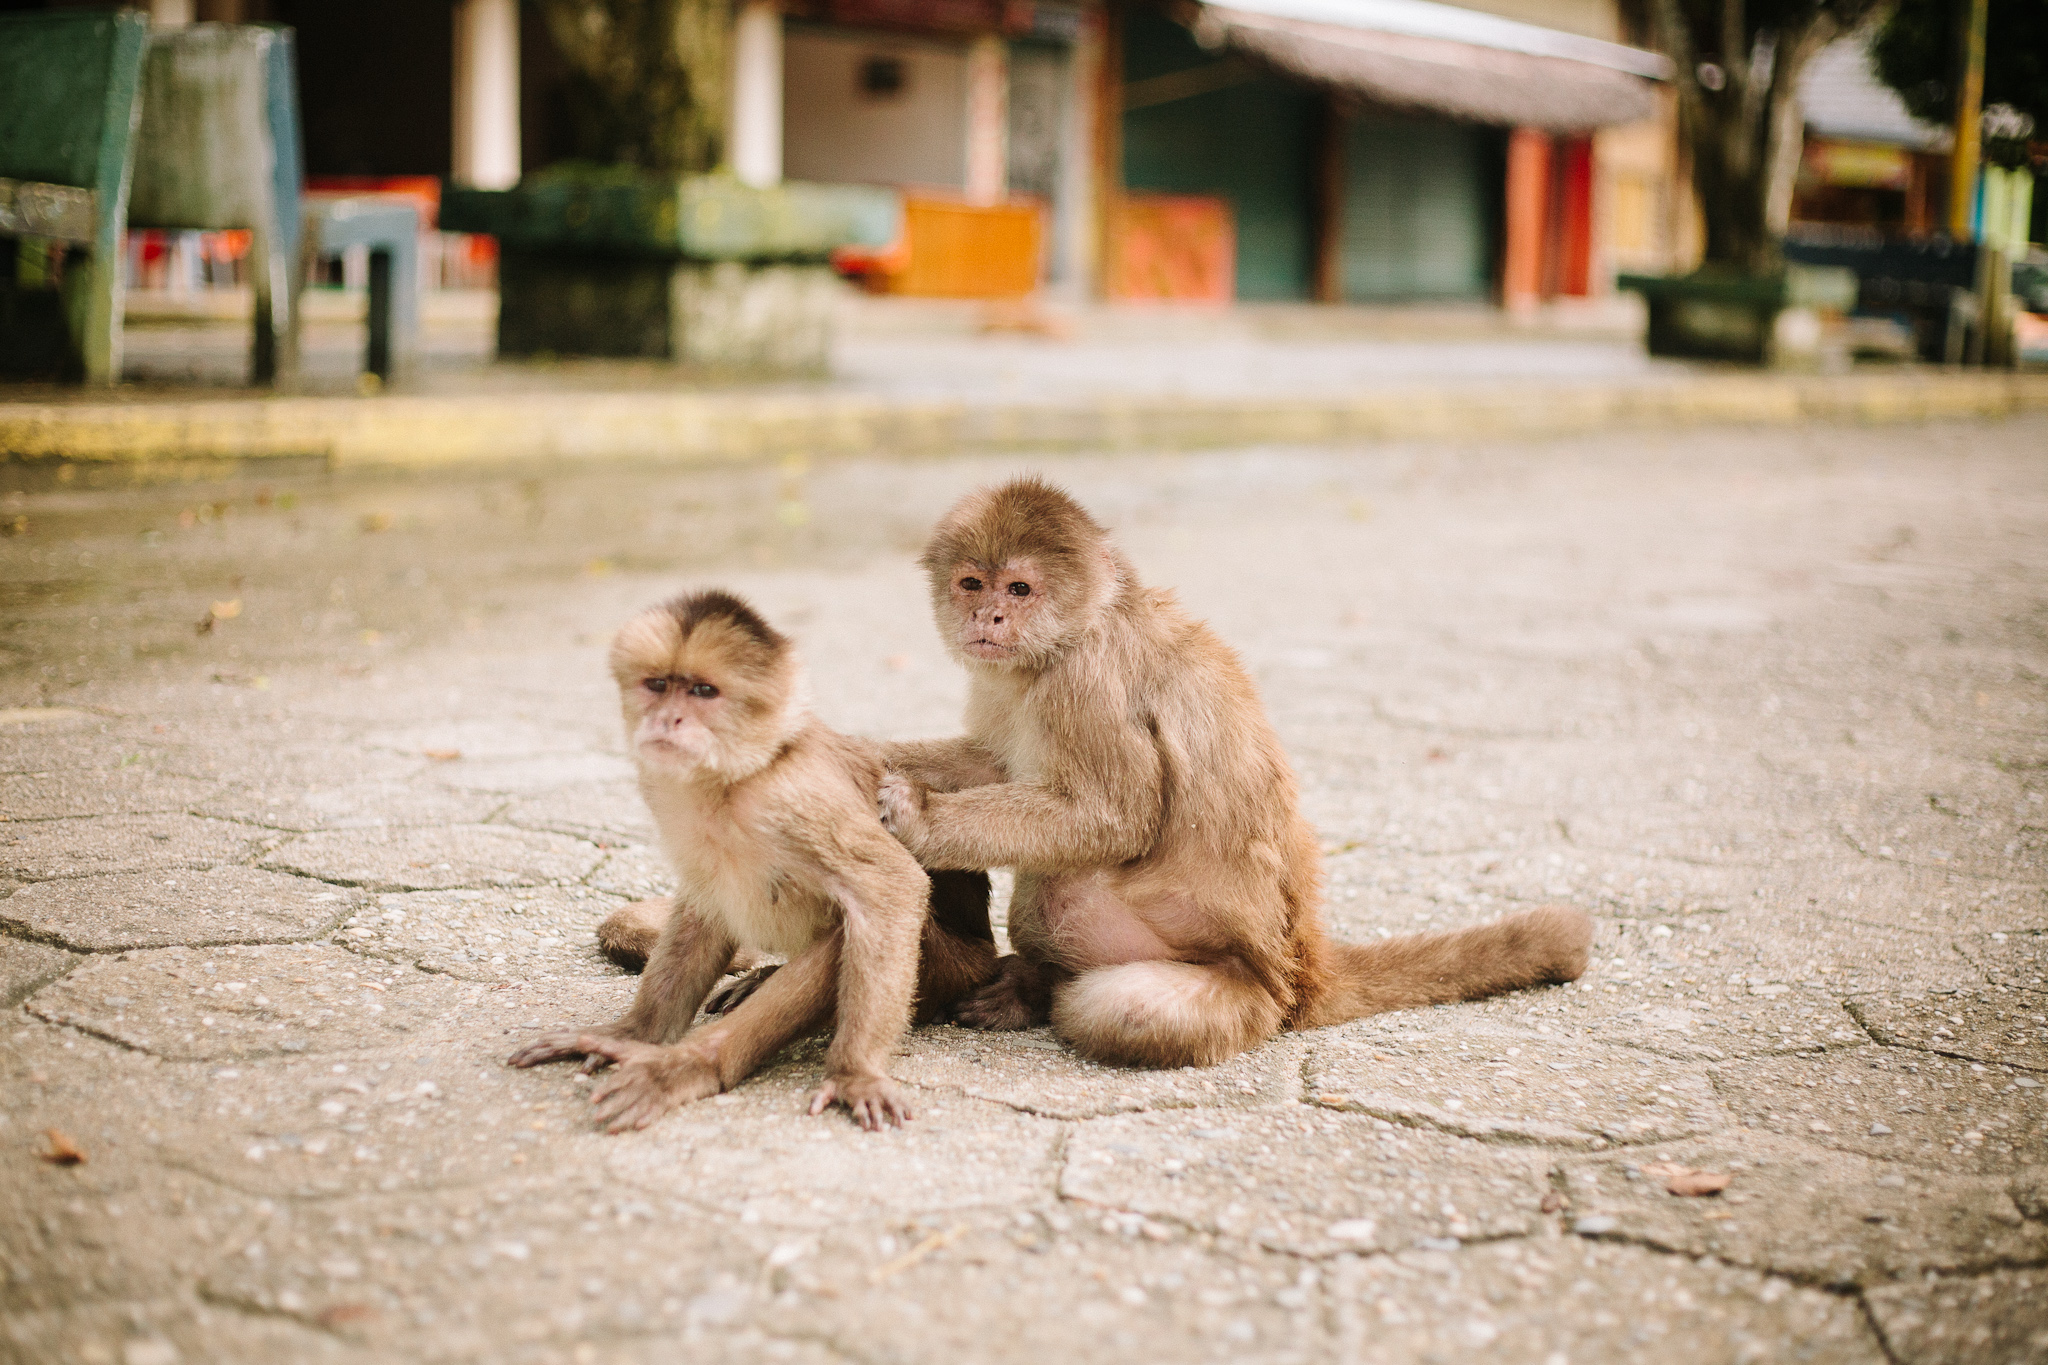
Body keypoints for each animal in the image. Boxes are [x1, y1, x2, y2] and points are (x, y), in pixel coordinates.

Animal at [509, 593, 991, 1137]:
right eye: (658, 686)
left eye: (703, 691)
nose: (668, 720)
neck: (731, 778)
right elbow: (702, 906)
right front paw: (636, 1036)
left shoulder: (792, 797)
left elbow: (892, 887)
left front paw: (855, 1072)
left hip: (954, 970)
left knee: (854, 928)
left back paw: (691, 1066)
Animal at [868, 480, 1597, 1064]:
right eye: (973, 583)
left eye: (1019, 588)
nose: (987, 615)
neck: (1070, 636)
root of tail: (1301, 970)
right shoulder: (1008, 680)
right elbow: (991, 760)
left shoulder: (1087, 682)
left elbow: (1110, 818)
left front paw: (921, 816)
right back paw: (1034, 984)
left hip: (1243, 989)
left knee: (1111, 974)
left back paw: (1053, 992)